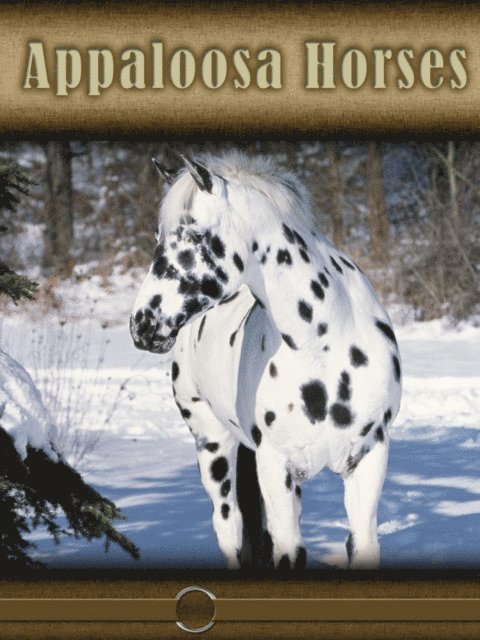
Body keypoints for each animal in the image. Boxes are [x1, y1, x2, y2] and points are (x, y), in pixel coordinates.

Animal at [130, 151, 402, 570]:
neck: (324, 345)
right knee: (228, 526)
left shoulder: (368, 459)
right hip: (213, 446)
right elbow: (286, 553)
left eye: (195, 235)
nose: (142, 325)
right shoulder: (275, 467)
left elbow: (361, 544)